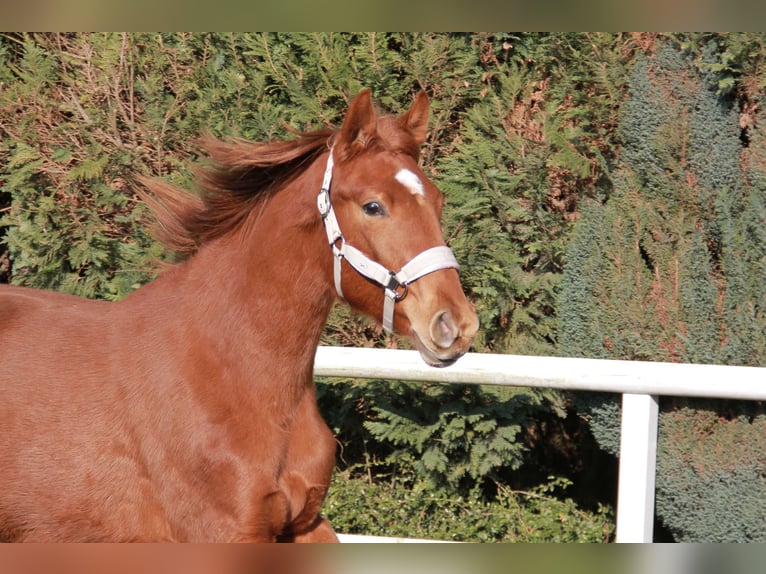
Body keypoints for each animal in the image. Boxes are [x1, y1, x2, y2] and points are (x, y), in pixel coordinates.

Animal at [0, 90, 480, 544]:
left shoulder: (302, 524)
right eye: (373, 206)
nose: (454, 324)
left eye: (438, 200)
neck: (233, 375)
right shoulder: (223, 533)